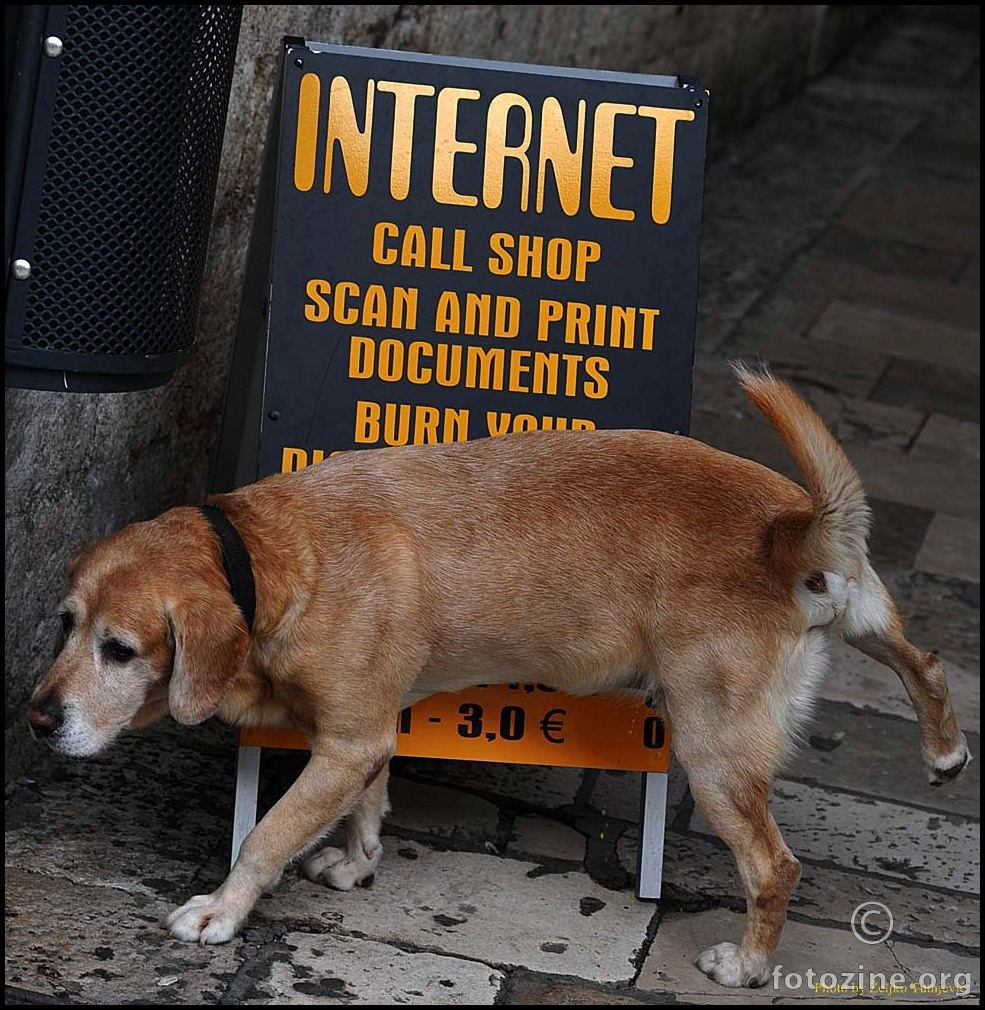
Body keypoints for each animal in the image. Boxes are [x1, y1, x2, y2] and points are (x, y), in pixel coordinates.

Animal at [27, 369, 965, 985]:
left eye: (120, 650)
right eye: (65, 625)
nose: (36, 719)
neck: (269, 555)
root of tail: (789, 532)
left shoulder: (344, 743)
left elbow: (265, 835)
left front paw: (221, 911)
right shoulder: (368, 737)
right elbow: (368, 805)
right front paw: (359, 864)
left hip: (713, 755)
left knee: (774, 869)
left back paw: (749, 964)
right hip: (862, 616)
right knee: (922, 659)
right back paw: (943, 751)